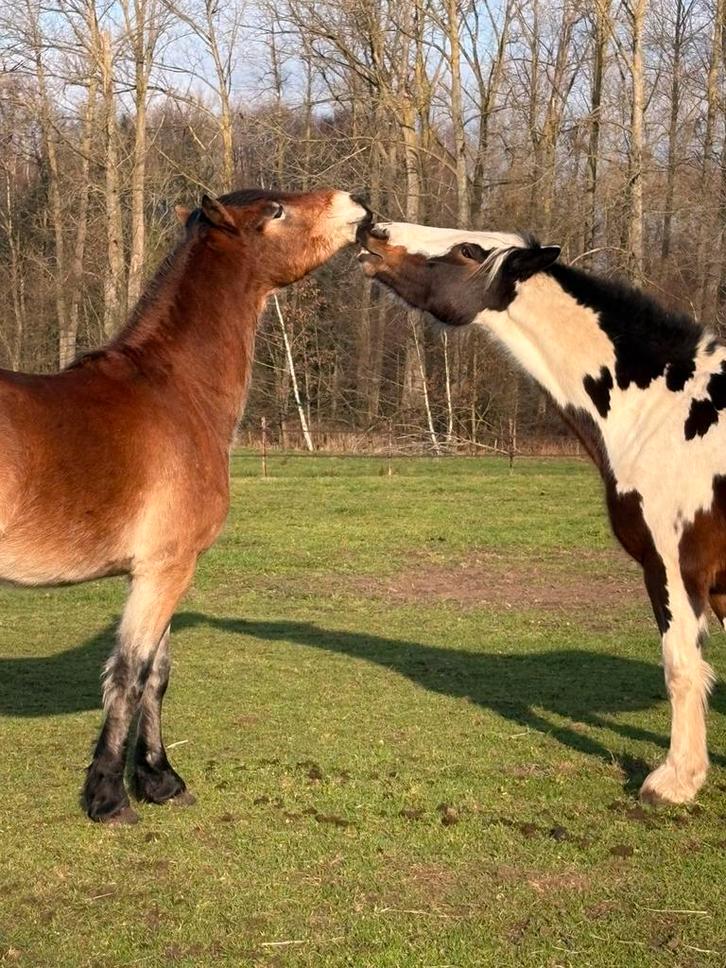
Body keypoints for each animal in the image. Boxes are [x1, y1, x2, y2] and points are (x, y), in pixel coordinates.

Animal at [0, 188, 371, 823]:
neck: (174, 391)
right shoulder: (167, 569)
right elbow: (129, 674)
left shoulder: (159, 571)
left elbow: (157, 675)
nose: (355, 203)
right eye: (275, 211)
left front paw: (159, 779)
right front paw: (109, 796)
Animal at [358, 219, 723, 805]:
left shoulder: (674, 567)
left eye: (470, 250)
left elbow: (682, 667)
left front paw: (675, 781)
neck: (666, 413)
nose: (376, 229)